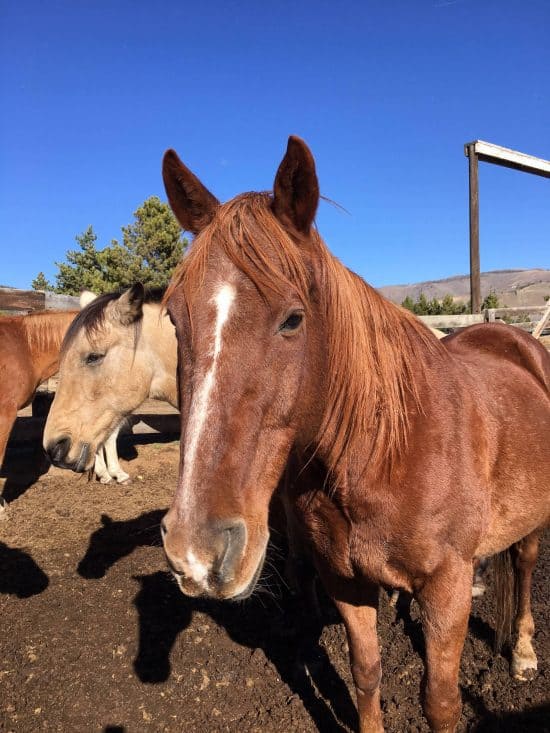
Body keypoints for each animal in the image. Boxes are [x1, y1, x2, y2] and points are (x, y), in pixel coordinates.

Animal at [161, 139, 550, 732]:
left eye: (293, 319)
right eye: (175, 321)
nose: (198, 551)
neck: (385, 455)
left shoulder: (445, 588)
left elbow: (440, 701)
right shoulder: (345, 581)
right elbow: (366, 676)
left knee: (525, 565)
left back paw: (524, 652)